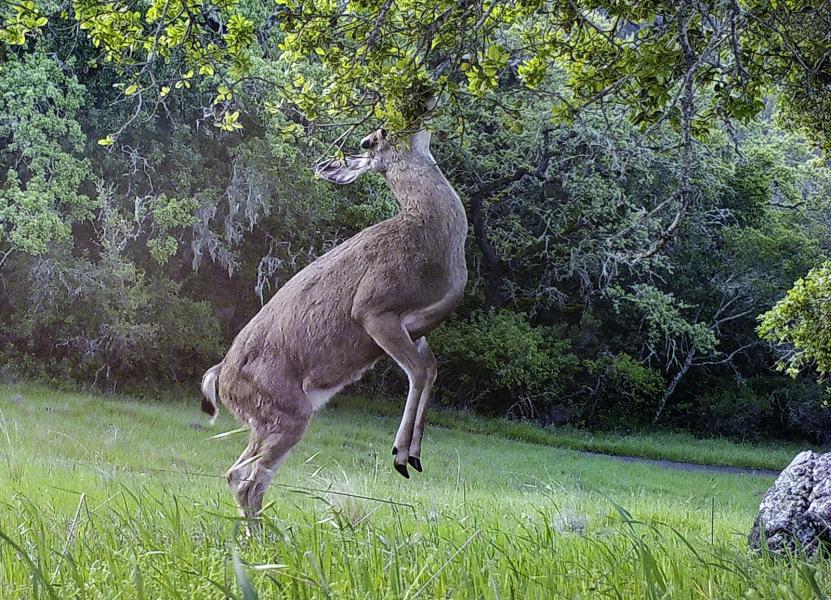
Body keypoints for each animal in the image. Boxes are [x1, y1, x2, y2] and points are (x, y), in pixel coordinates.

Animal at [200, 127, 468, 523]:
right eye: (372, 139)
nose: (418, 122)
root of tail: (221, 377)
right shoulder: (375, 309)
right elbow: (419, 371)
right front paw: (401, 456)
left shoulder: (415, 328)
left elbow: (432, 368)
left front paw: (415, 454)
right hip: (285, 410)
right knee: (248, 479)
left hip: (273, 417)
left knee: (241, 476)